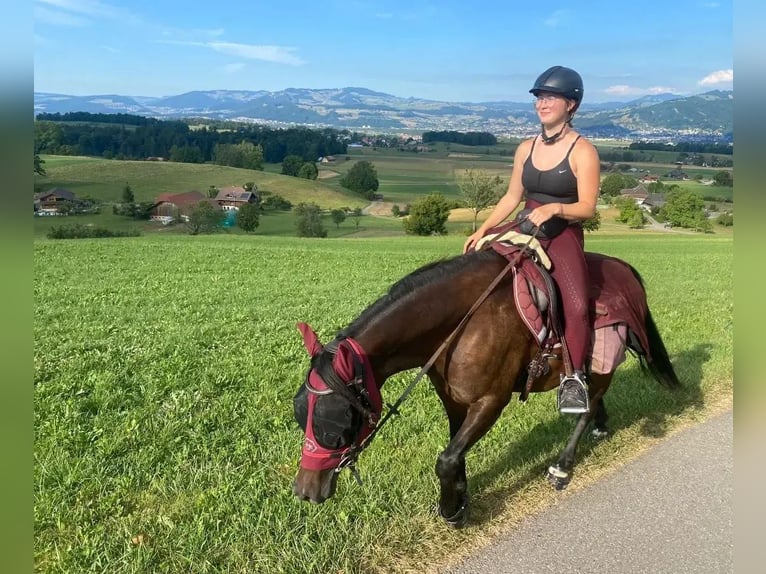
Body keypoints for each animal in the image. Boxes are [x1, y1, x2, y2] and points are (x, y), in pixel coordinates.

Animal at [292, 245, 680, 528]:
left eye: (337, 421)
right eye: (300, 414)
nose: (305, 491)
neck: (463, 322)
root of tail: (625, 268)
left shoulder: (491, 400)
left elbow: (447, 459)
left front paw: (451, 509)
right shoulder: (453, 398)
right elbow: (454, 453)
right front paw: (461, 497)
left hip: (602, 361)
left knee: (589, 402)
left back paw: (563, 465)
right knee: (591, 399)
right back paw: (600, 425)